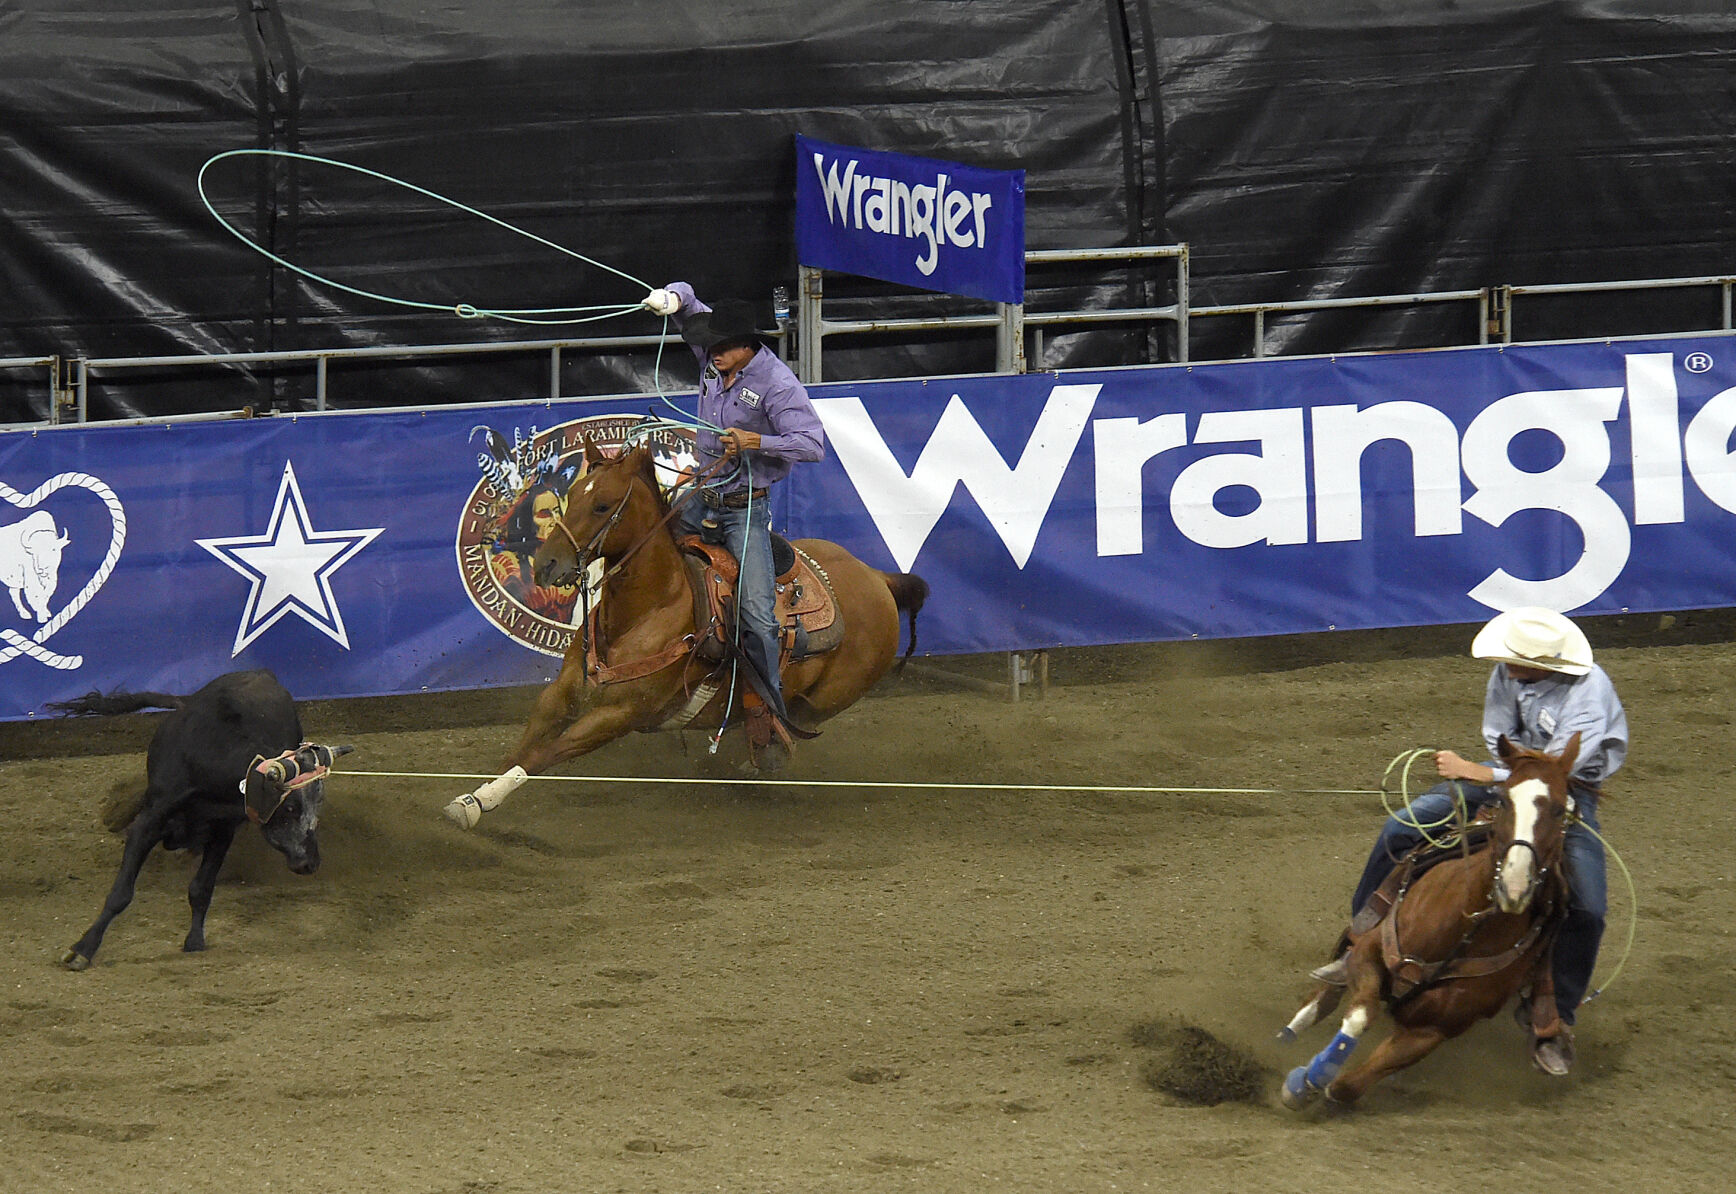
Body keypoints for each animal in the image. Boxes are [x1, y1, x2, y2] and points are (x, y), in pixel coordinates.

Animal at [54, 673, 347, 971]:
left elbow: (201, 888)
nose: (311, 863)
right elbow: (120, 894)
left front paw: (195, 939)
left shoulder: (222, 831)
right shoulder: (148, 824)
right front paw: (83, 949)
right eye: (289, 807)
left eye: (317, 805)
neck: (208, 761)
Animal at [447, 439, 930, 829]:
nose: (547, 565)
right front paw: (469, 794)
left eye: (602, 505)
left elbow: (542, 755)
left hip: (821, 702)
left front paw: (478, 805)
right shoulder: (562, 693)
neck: (650, 608)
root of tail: (878, 578)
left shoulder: (620, 713)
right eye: (570, 498)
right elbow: (521, 750)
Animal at [1270, 728, 1583, 1110]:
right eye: (1507, 800)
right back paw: (1290, 1032)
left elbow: (1347, 1087)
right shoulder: (1371, 951)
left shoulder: (1433, 1030)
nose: (1514, 885)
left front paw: (1313, 1081)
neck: (1465, 928)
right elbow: (1359, 1016)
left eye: (1560, 809)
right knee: (1325, 994)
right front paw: (1303, 1082)